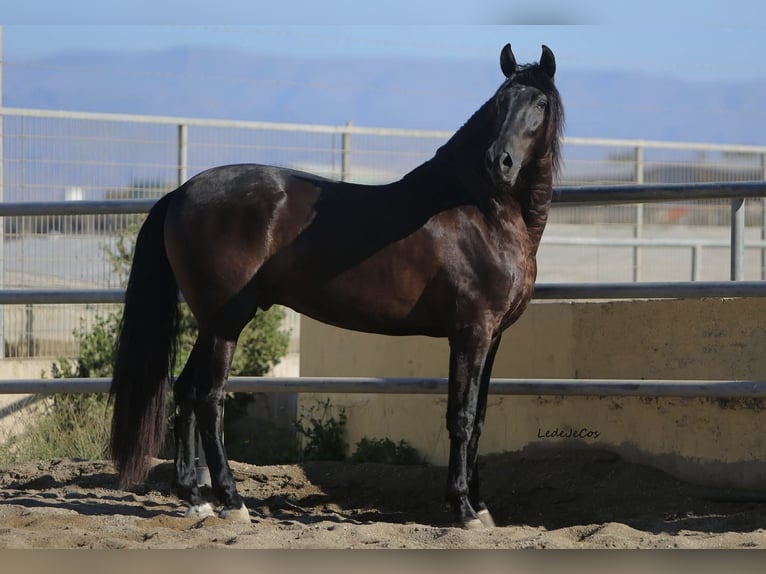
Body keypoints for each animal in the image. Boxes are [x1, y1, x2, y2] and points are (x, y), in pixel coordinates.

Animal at [109, 43, 564, 529]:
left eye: (539, 102)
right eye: (500, 102)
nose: (499, 162)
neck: (481, 211)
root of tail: (180, 193)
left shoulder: (492, 336)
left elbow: (478, 419)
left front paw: (481, 507)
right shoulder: (470, 332)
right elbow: (459, 415)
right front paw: (462, 508)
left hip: (214, 322)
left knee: (186, 390)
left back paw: (195, 497)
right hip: (226, 322)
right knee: (210, 398)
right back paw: (232, 499)